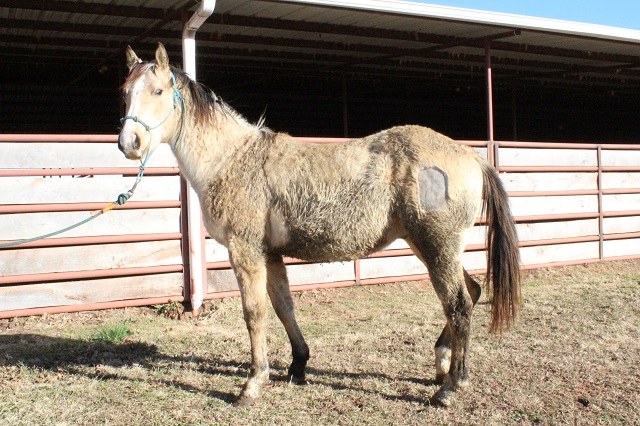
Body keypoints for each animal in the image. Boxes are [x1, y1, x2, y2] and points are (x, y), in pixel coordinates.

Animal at [119, 44, 520, 410]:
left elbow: (254, 313)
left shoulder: (245, 252)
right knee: (472, 291)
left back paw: (451, 387)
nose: (129, 143)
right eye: (125, 91)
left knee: (458, 304)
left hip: (436, 247)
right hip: (430, 248)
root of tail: (469, 154)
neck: (232, 158)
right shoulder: (270, 255)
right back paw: (441, 364)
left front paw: (253, 383)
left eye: (158, 91)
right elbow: (284, 308)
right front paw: (298, 366)